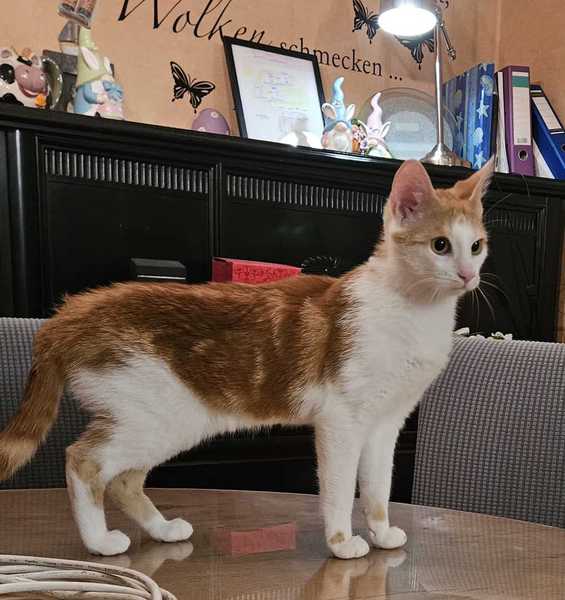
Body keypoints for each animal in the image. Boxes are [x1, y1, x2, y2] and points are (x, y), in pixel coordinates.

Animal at [0, 158, 493, 558]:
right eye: (440, 245)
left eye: (477, 246)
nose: (468, 275)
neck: (414, 311)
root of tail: (70, 313)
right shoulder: (341, 420)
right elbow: (339, 489)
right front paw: (341, 543)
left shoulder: (385, 424)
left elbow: (377, 488)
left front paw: (381, 533)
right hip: (156, 417)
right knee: (83, 462)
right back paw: (99, 541)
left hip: (162, 423)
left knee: (124, 478)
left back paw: (162, 530)